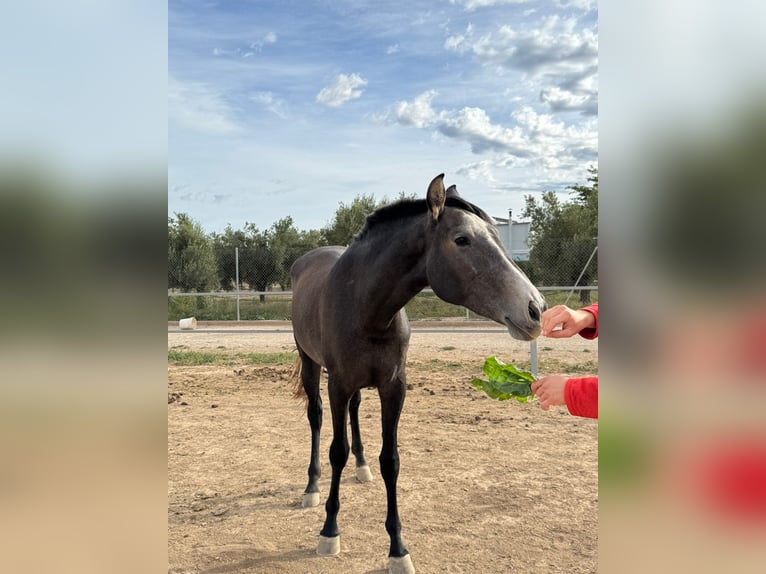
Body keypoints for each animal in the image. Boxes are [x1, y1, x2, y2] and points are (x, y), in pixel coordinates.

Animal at [288, 173, 544, 572]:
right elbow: (335, 451)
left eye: (497, 236)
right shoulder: (339, 385)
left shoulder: (394, 387)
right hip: (312, 365)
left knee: (356, 414)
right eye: (462, 239)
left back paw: (361, 467)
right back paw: (312, 487)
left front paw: (397, 548)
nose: (535, 308)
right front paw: (329, 531)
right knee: (316, 418)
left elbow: (390, 460)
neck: (366, 306)